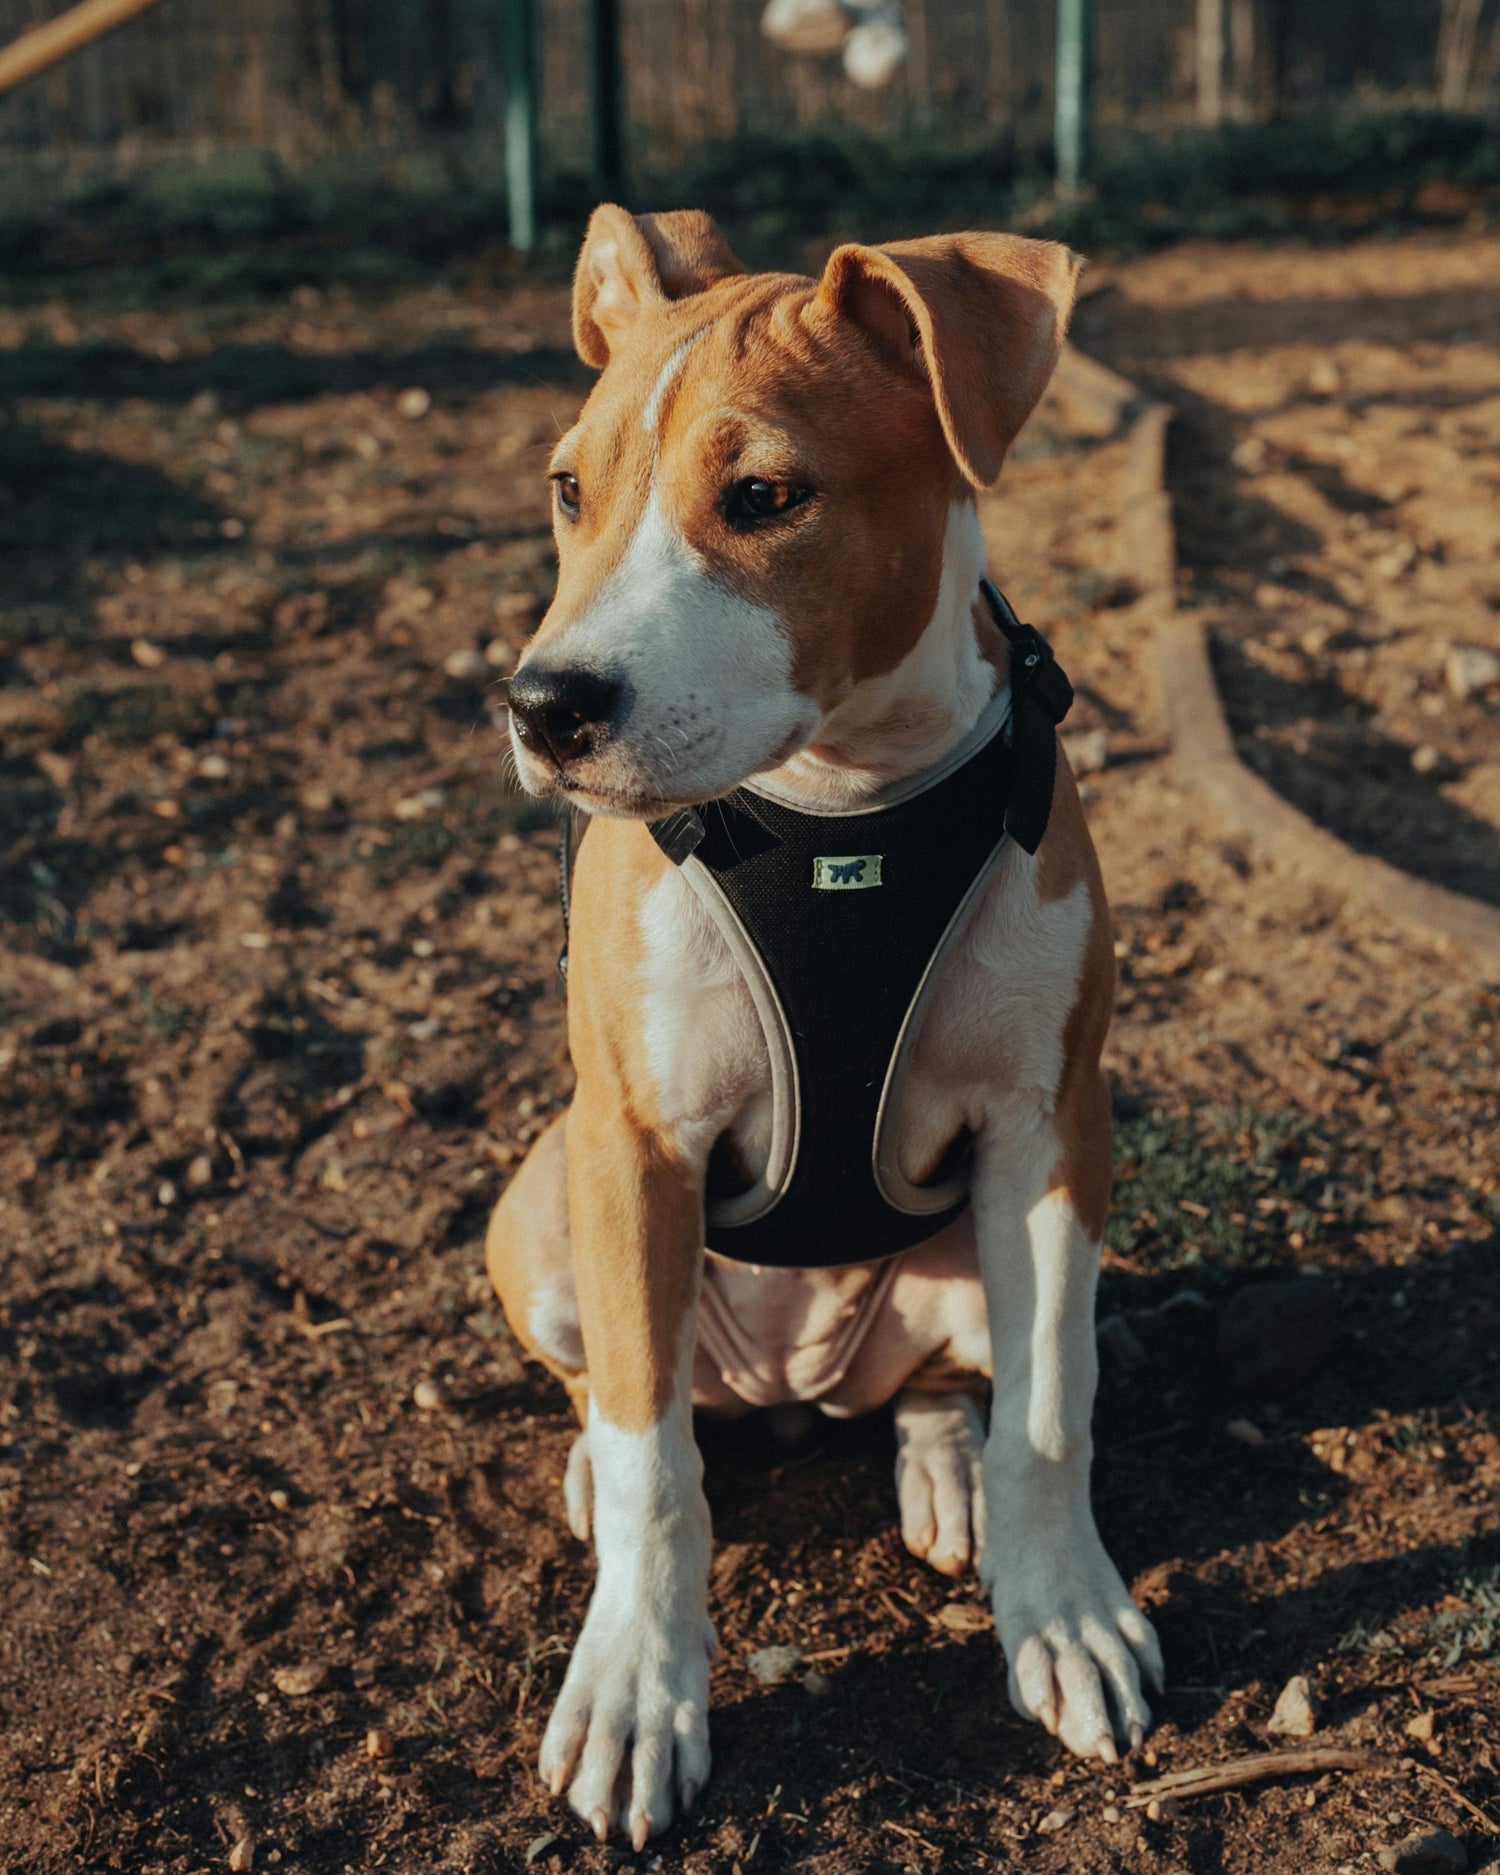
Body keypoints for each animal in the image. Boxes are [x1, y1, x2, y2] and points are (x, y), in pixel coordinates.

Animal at [487, 205, 1162, 1845]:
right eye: (567, 488)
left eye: (766, 497)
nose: (544, 706)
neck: (842, 804)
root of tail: (795, 1383)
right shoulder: (638, 1145)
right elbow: (660, 1469)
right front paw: (634, 1691)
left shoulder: (1053, 1135)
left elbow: (1053, 1408)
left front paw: (1064, 1616)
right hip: (545, 1210)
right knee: (631, 1393)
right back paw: (595, 1463)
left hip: (970, 1262)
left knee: (947, 1386)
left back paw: (944, 1472)